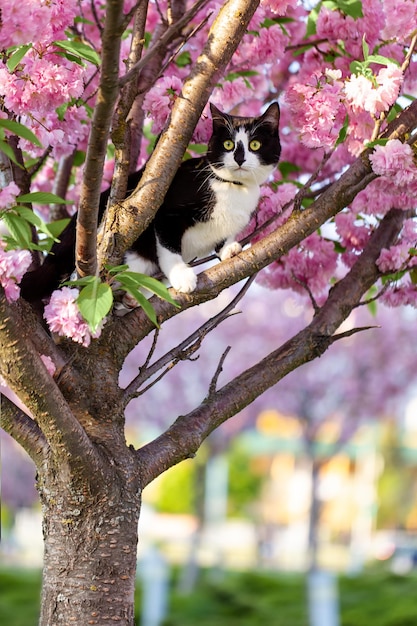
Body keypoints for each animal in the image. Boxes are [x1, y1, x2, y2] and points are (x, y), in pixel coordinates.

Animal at [19, 103, 280, 304]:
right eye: (228, 144)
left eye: (255, 145)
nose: (239, 158)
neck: (234, 188)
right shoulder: (167, 212)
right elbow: (168, 247)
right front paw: (182, 277)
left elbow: (222, 238)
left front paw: (229, 248)